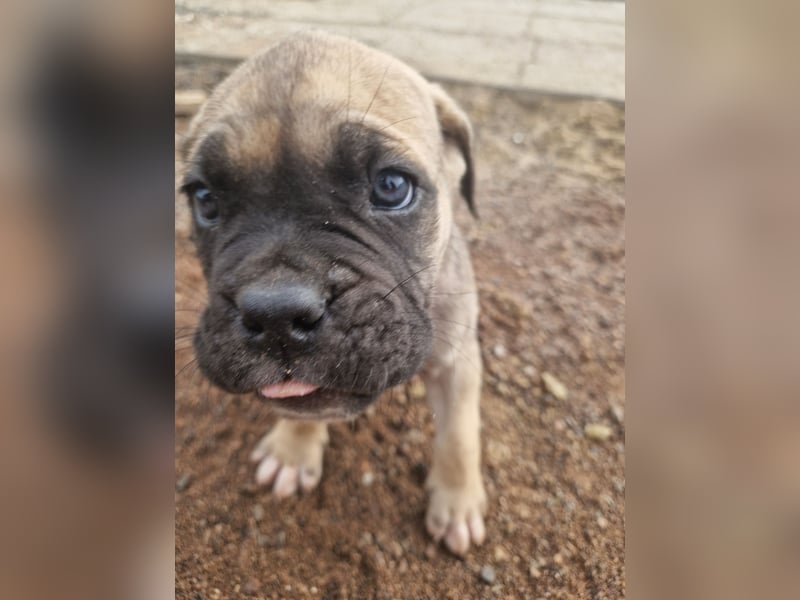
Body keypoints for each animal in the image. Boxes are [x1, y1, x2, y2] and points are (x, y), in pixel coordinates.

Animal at [179, 31, 484, 556]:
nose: (276, 315)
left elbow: (459, 435)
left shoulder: (457, 361)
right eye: (204, 200)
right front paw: (293, 448)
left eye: (392, 186)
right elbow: (301, 407)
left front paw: (458, 499)